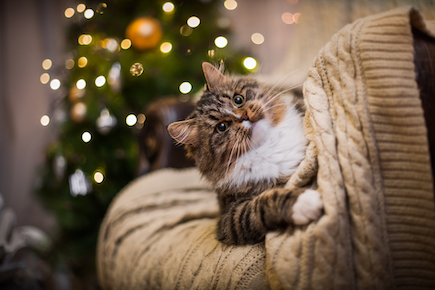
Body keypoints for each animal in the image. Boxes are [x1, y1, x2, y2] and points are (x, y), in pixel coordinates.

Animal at [168, 63, 324, 245]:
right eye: (221, 127)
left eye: (238, 100)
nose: (244, 116)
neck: (268, 144)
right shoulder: (230, 218)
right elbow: (261, 204)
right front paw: (304, 202)